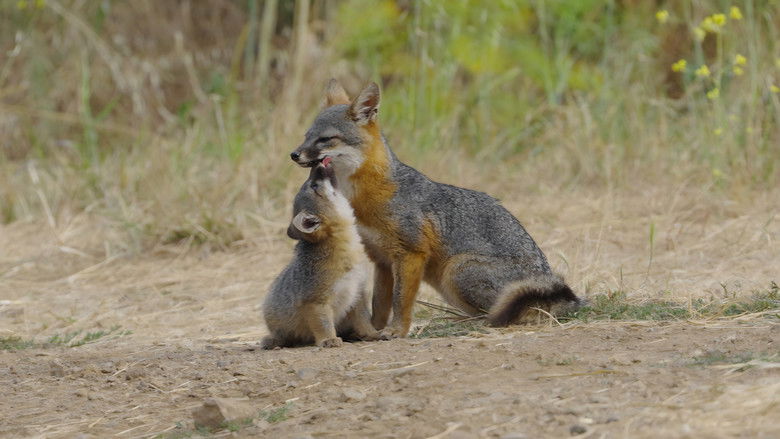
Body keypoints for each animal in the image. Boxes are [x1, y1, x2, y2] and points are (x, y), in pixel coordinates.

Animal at [261, 161, 378, 349]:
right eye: (314, 186)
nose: (317, 164)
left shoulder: (357, 293)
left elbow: (364, 320)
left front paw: (372, 334)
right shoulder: (315, 300)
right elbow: (323, 324)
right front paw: (329, 339)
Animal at [289, 79, 581, 339]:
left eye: (325, 139)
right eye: (306, 136)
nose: (294, 154)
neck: (366, 197)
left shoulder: (410, 253)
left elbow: (401, 301)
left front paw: (397, 331)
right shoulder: (382, 259)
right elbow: (380, 305)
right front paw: (372, 331)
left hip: (456, 270)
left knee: (505, 312)